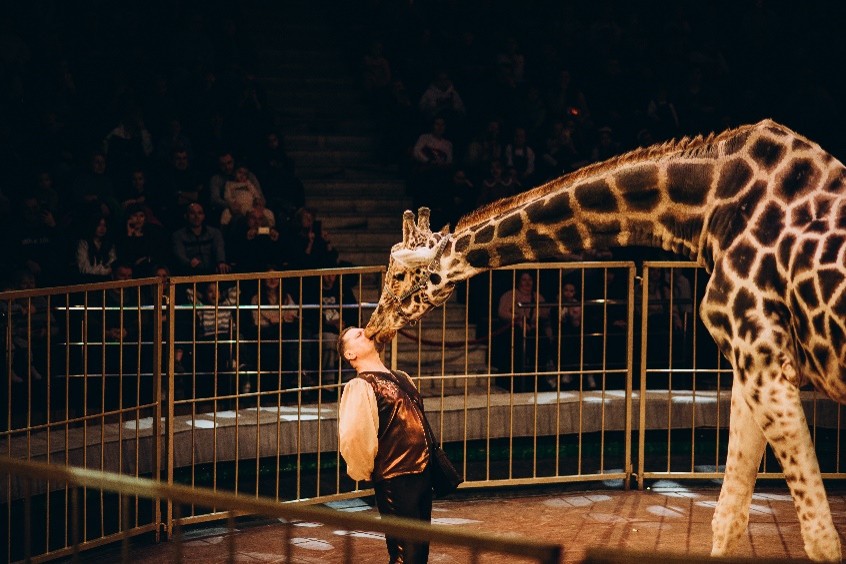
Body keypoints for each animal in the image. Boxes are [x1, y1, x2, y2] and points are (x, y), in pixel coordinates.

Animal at [364, 119, 845, 561]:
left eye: (399, 275)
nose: (372, 329)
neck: (707, 210)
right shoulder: (755, 360)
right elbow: (729, 516)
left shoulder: (761, 355)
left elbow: (821, 539)